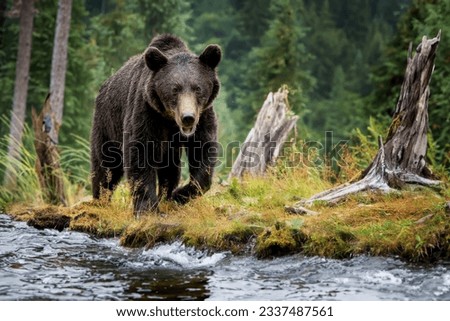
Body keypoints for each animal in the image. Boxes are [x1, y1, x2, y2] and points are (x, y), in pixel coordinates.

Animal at [90, 33, 221, 215]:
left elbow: (203, 154)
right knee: (106, 165)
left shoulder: (203, 117)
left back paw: (166, 196)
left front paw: (178, 195)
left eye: (198, 88)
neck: (170, 120)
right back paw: (100, 201)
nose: (188, 117)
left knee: (171, 170)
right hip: (107, 123)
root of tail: (104, 85)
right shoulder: (147, 113)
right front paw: (147, 208)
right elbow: (140, 153)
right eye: (175, 89)